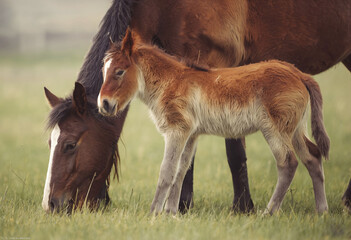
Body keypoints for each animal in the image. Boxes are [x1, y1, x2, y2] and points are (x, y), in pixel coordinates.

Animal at [98, 30, 330, 216]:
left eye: (119, 71)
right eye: (104, 71)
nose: (104, 104)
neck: (171, 81)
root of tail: (299, 74)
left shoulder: (176, 131)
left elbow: (167, 171)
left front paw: (154, 213)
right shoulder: (191, 134)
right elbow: (181, 170)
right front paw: (171, 213)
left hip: (274, 130)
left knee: (288, 162)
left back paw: (269, 212)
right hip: (295, 130)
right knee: (312, 157)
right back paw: (322, 211)